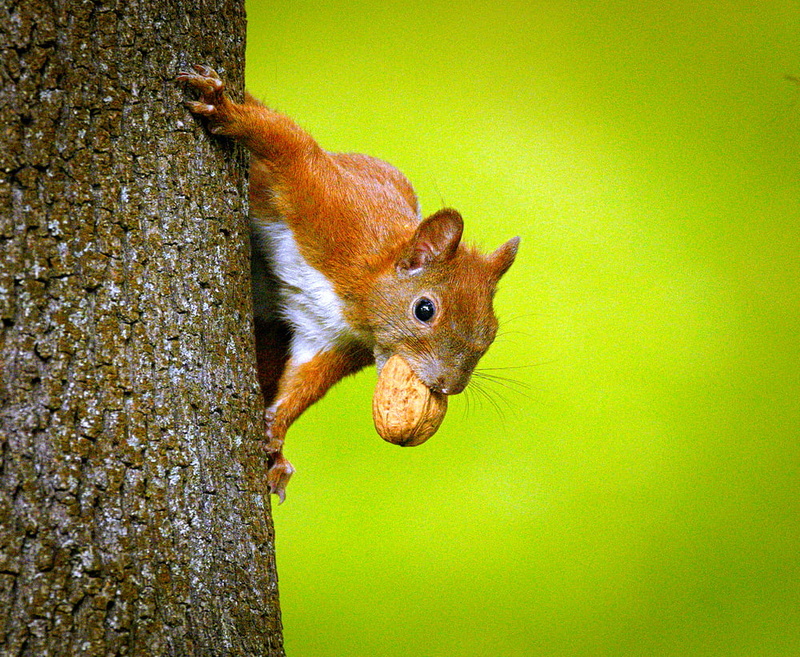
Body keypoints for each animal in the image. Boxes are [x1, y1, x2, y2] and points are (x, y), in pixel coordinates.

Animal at [177, 65, 519, 502]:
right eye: (424, 309)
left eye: (491, 331)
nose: (448, 385)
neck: (357, 292)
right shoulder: (333, 204)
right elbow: (288, 144)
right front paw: (224, 108)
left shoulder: (333, 339)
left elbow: (307, 381)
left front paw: (275, 433)